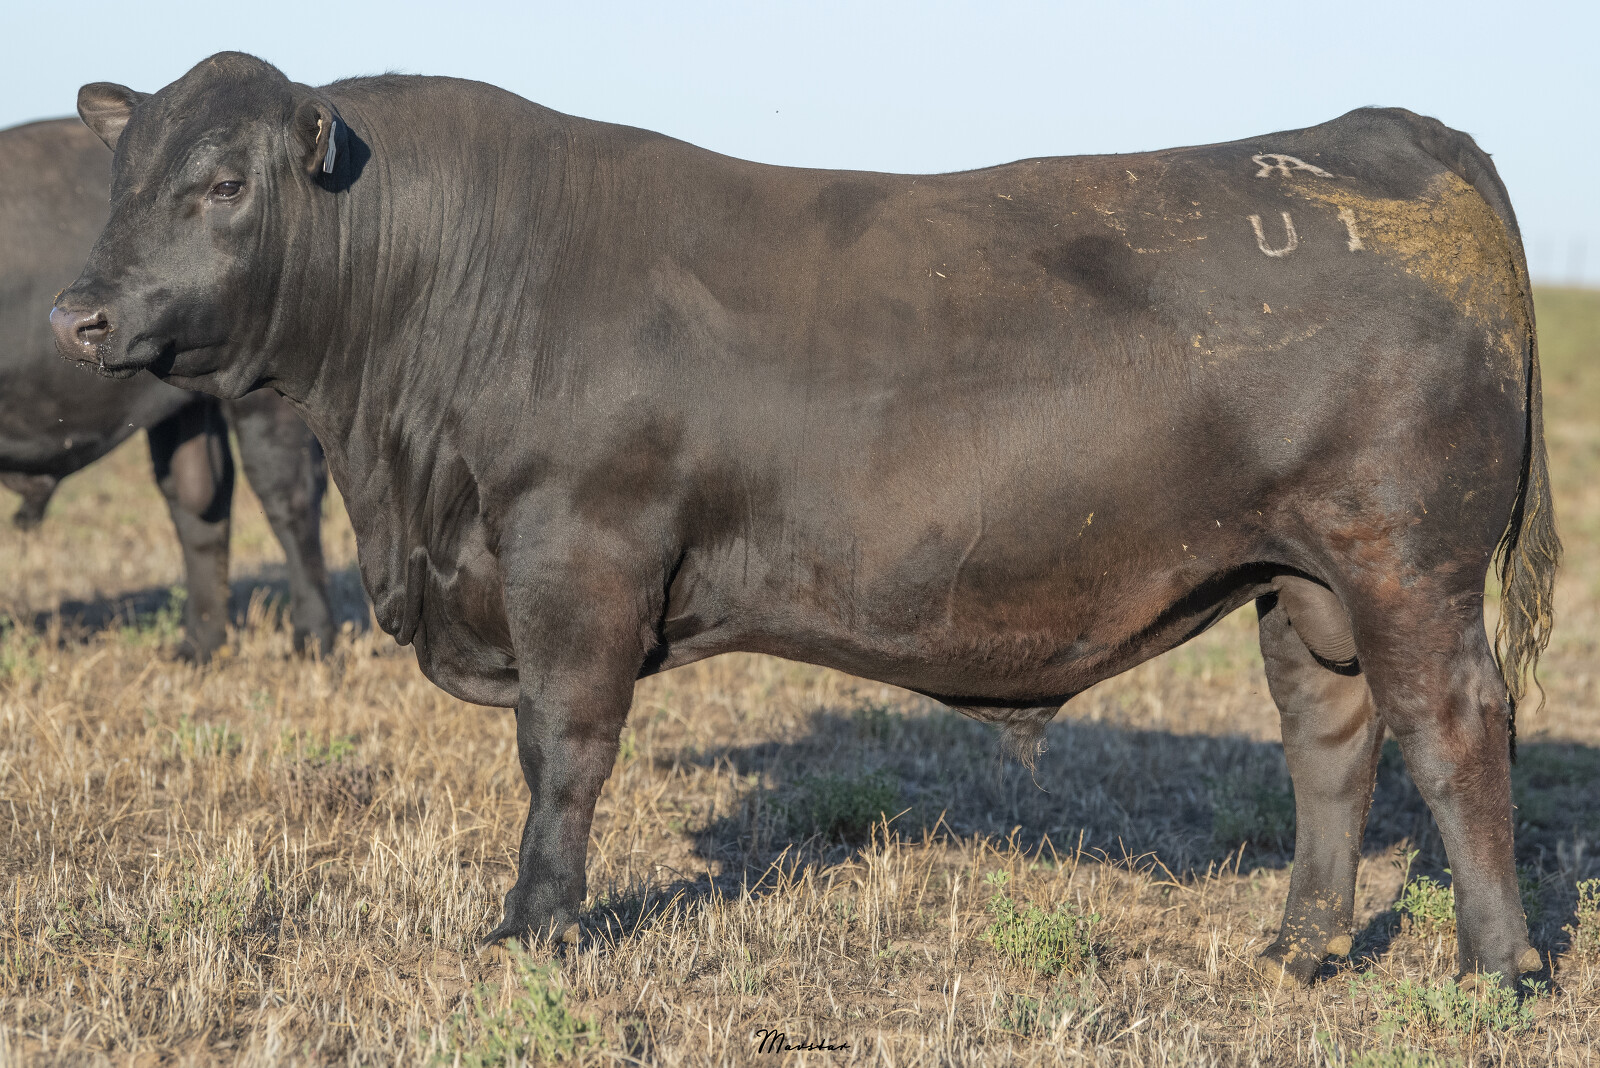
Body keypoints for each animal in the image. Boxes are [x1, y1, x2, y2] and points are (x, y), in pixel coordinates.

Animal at [1, 116, 333, 660]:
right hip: (185, 412)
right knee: (200, 506)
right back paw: (200, 646)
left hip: (268, 410)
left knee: (290, 504)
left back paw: (312, 642)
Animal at [51, 53, 1558, 987]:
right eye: (119, 178)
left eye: (224, 184)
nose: (81, 312)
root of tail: (1381, 132)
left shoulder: (578, 558)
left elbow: (565, 752)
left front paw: (535, 927)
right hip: (1301, 580)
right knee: (1331, 743)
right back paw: (1300, 945)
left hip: (1405, 561)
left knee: (1451, 730)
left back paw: (1497, 968)